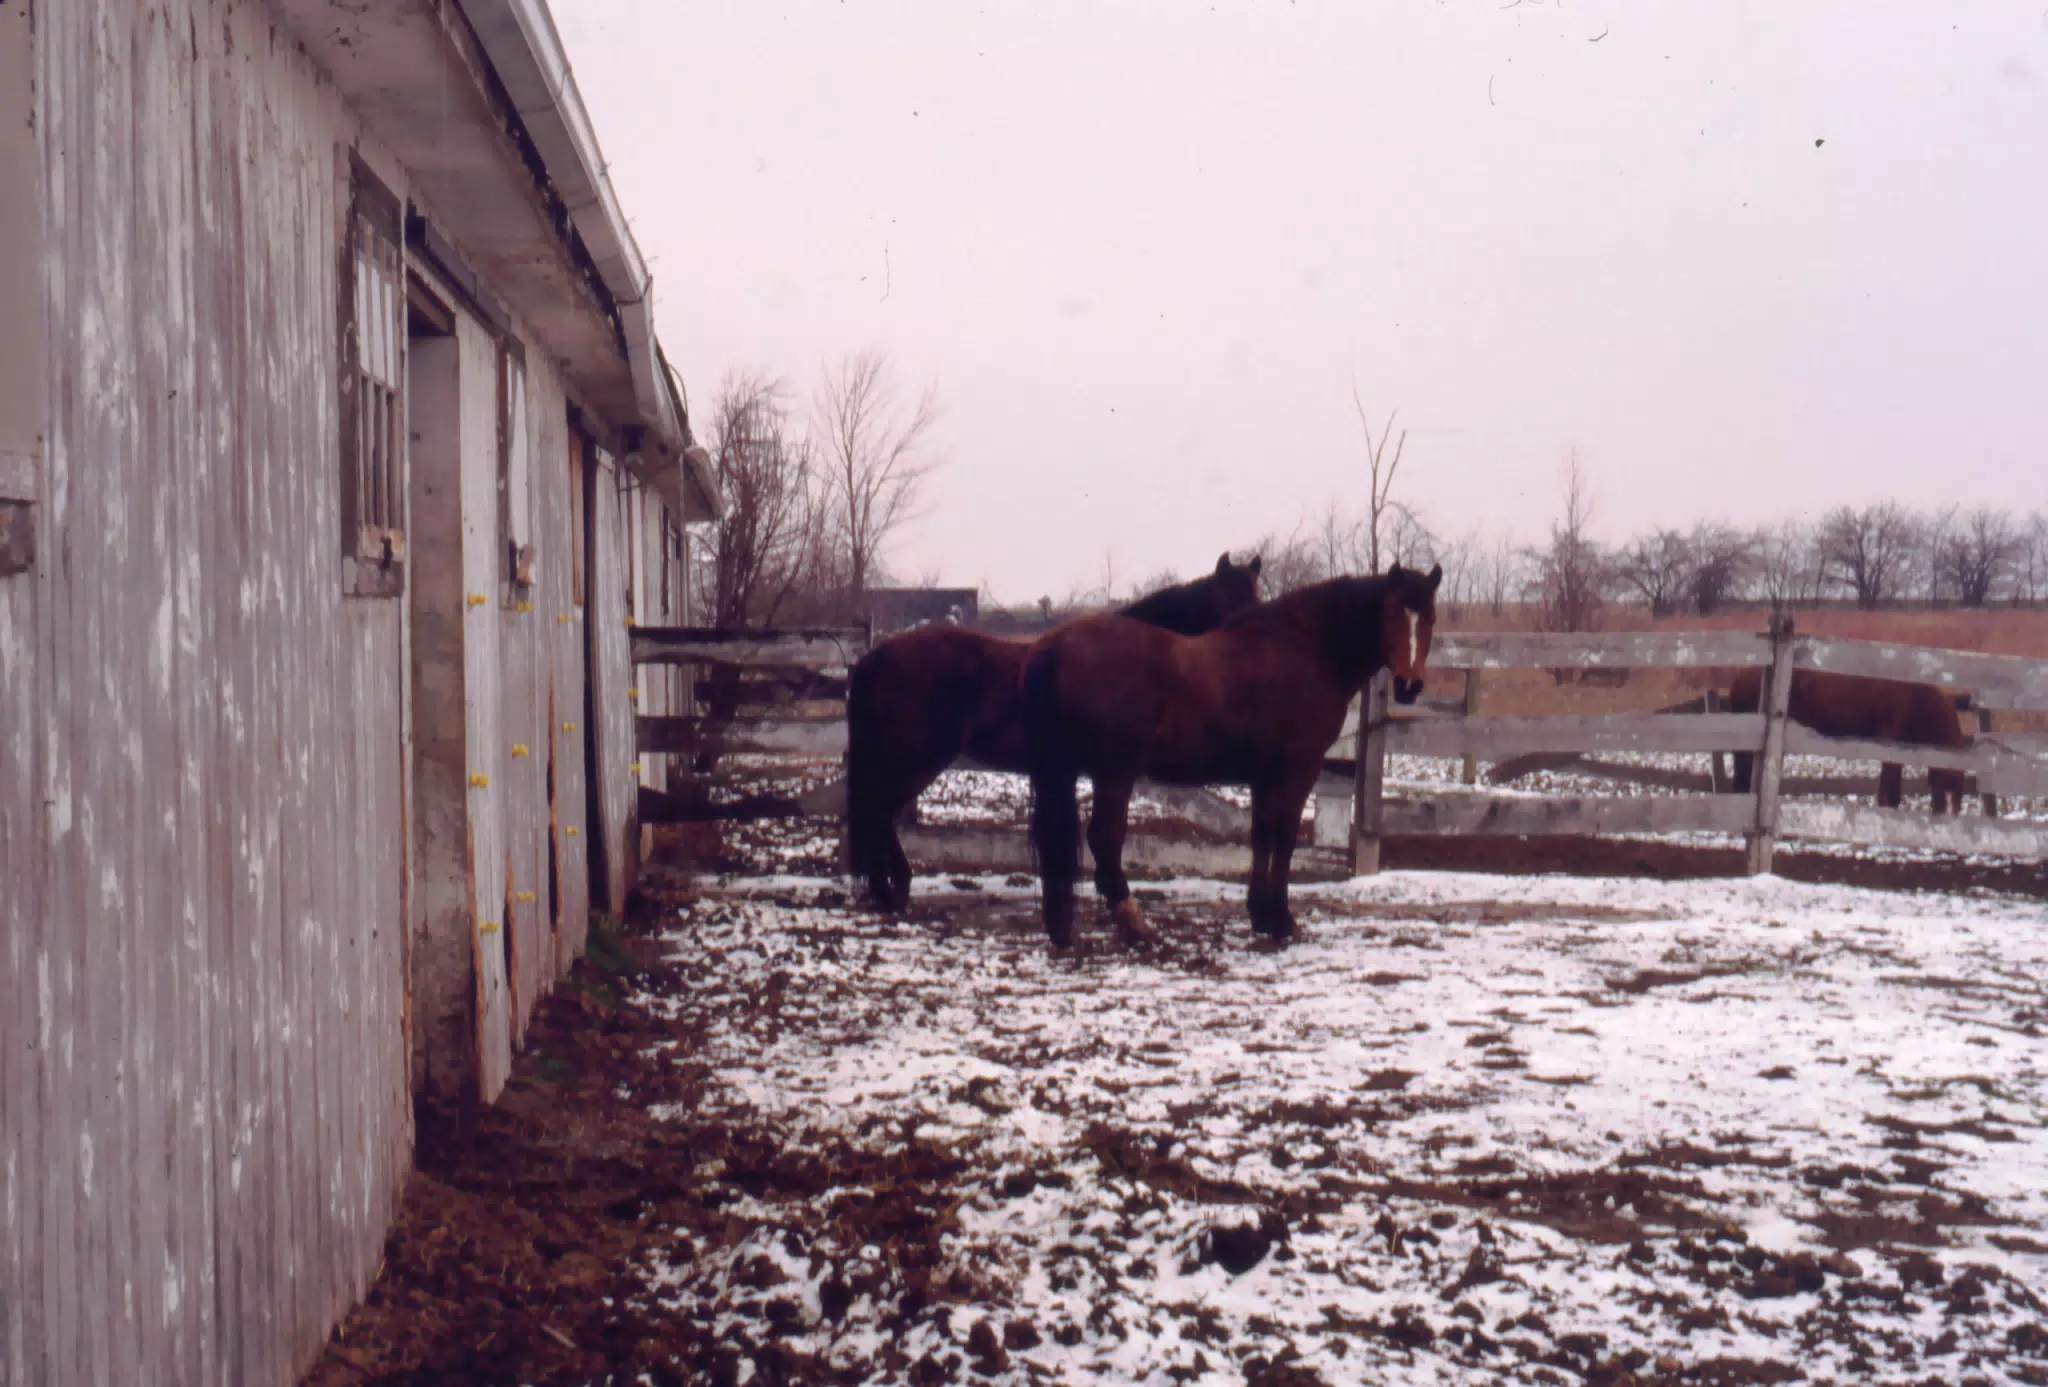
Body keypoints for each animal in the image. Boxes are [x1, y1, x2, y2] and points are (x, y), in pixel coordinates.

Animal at [844, 554, 1264, 909]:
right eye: (1227, 605)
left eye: (1257, 602)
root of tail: (873, 658)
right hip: (916, 757)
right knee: (879, 811)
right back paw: (892, 891)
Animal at [1023, 564, 1442, 951]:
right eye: (1390, 614)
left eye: (1431, 617)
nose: (1408, 686)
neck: (1305, 648)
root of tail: (1053, 645)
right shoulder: (1298, 768)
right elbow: (1284, 837)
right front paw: (1282, 920)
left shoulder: (1264, 774)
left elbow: (1261, 835)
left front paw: (1260, 915)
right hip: (1114, 772)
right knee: (1104, 839)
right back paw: (1138, 927)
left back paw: (1063, 929)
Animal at [1728, 668, 1968, 813]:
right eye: (1951, 783)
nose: (1952, 812)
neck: (1919, 701)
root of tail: (1739, 678)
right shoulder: (1890, 738)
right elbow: (1889, 781)